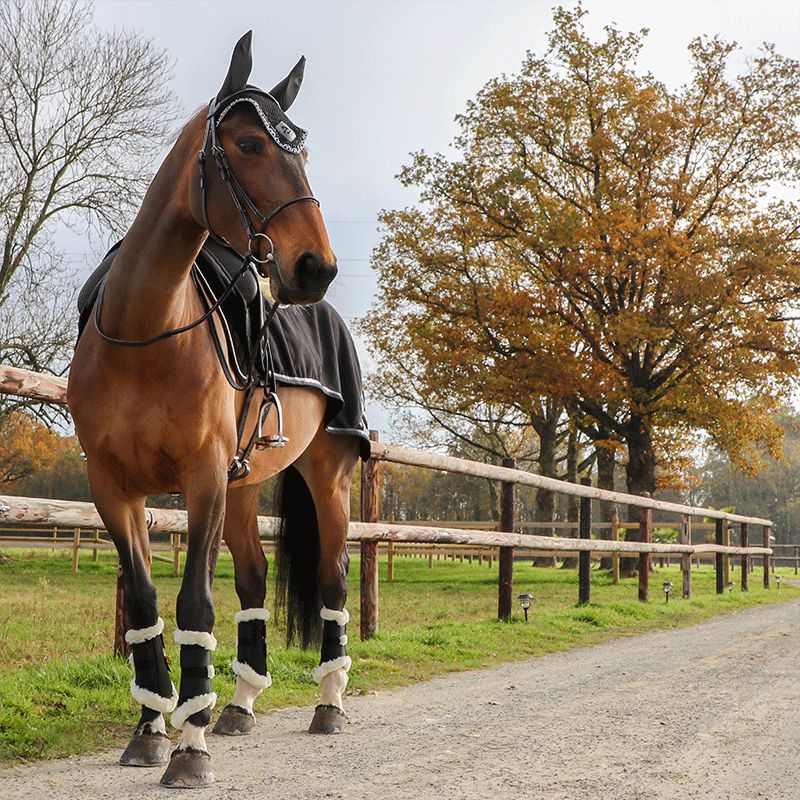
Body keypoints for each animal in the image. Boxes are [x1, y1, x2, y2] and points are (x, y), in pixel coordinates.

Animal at [67, 29, 364, 788]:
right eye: (250, 144)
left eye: (301, 151)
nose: (315, 267)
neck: (146, 329)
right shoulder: (114, 487)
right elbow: (146, 605)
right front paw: (150, 731)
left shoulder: (200, 479)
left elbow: (194, 601)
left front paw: (189, 748)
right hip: (244, 488)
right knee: (255, 580)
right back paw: (239, 706)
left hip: (327, 478)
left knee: (332, 579)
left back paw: (328, 704)